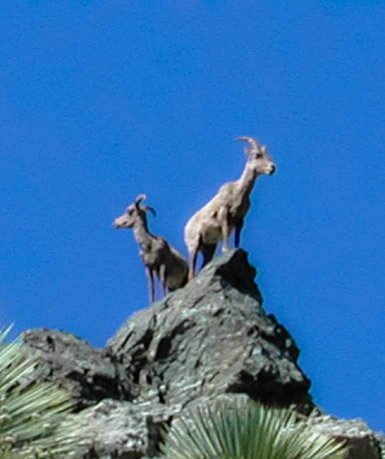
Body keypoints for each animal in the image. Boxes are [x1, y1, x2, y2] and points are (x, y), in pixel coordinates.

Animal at [184, 135, 276, 278]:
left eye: (268, 156)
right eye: (257, 155)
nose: (272, 168)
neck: (238, 191)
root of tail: (185, 229)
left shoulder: (240, 220)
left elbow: (237, 238)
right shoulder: (224, 213)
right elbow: (226, 231)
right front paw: (226, 249)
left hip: (208, 248)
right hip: (194, 245)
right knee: (191, 272)